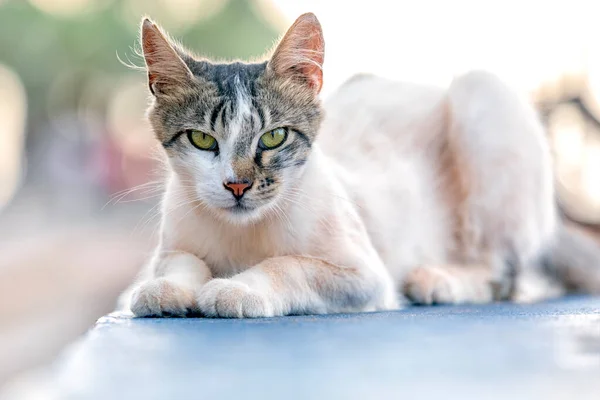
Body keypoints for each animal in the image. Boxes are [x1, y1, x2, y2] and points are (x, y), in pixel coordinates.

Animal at [130, 13, 600, 318]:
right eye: (202, 140)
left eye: (274, 137)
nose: (238, 186)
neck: (242, 234)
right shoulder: (174, 244)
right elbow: (180, 263)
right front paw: (164, 288)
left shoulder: (363, 275)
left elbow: (287, 265)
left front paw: (237, 288)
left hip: (482, 96)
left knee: (504, 273)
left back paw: (439, 280)